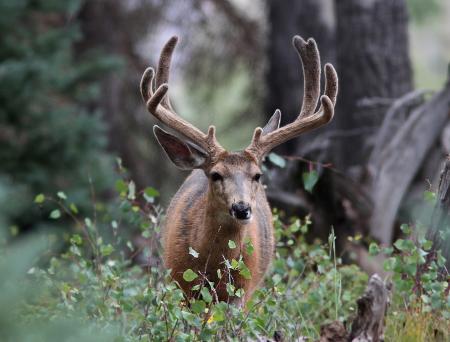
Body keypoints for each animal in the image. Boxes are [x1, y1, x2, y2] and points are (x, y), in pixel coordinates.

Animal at [141, 36, 338, 306]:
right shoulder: (180, 281)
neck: (213, 267)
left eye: (257, 175)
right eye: (216, 175)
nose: (242, 208)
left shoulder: (242, 291)